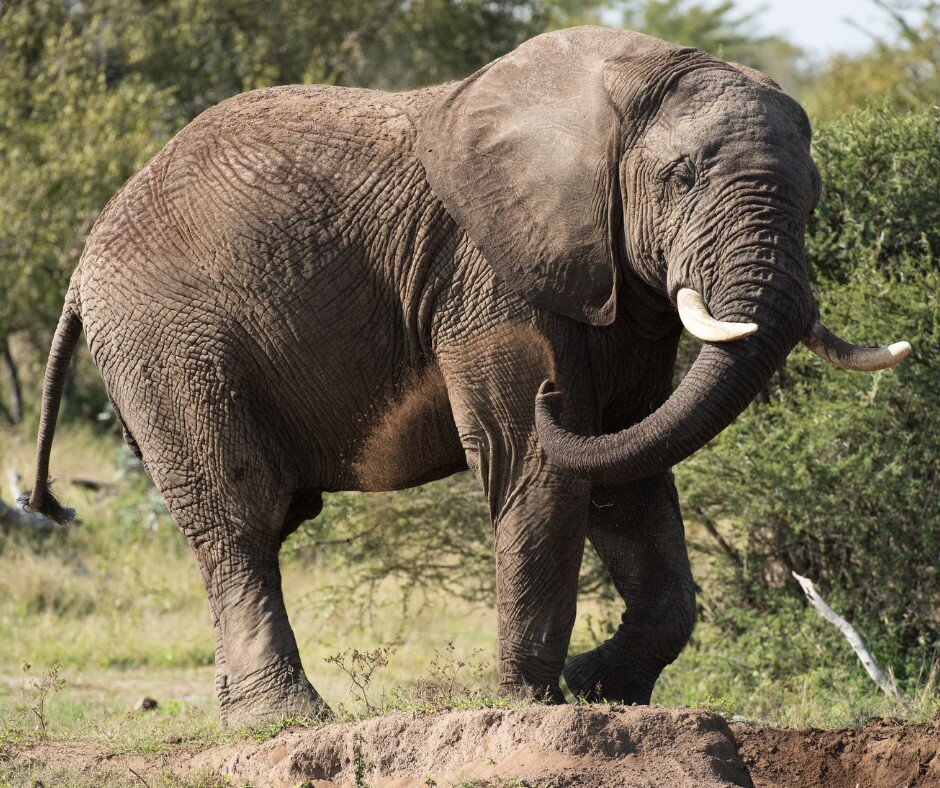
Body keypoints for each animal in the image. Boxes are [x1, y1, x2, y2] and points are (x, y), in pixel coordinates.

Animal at [22, 26, 910, 725]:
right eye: (682, 175)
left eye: (815, 195)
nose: (553, 392)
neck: (620, 85)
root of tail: (86, 259)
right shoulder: (490, 278)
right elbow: (539, 460)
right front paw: (533, 702)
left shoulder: (617, 285)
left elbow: (630, 462)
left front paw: (598, 689)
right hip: (169, 345)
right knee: (237, 512)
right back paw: (288, 720)